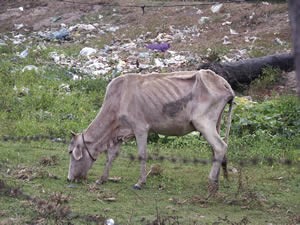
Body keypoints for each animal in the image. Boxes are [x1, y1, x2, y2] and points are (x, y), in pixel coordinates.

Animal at [67, 70, 234, 193]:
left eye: (70, 152)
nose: (69, 178)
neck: (118, 100)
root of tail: (222, 82)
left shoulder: (140, 128)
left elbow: (142, 154)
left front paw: (140, 182)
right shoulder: (120, 134)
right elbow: (111, 156)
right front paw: (102, 179)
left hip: (204, 123)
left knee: (220, 147)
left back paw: (211, 182)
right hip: (215, 124)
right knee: (216, 151)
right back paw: (217, 181)